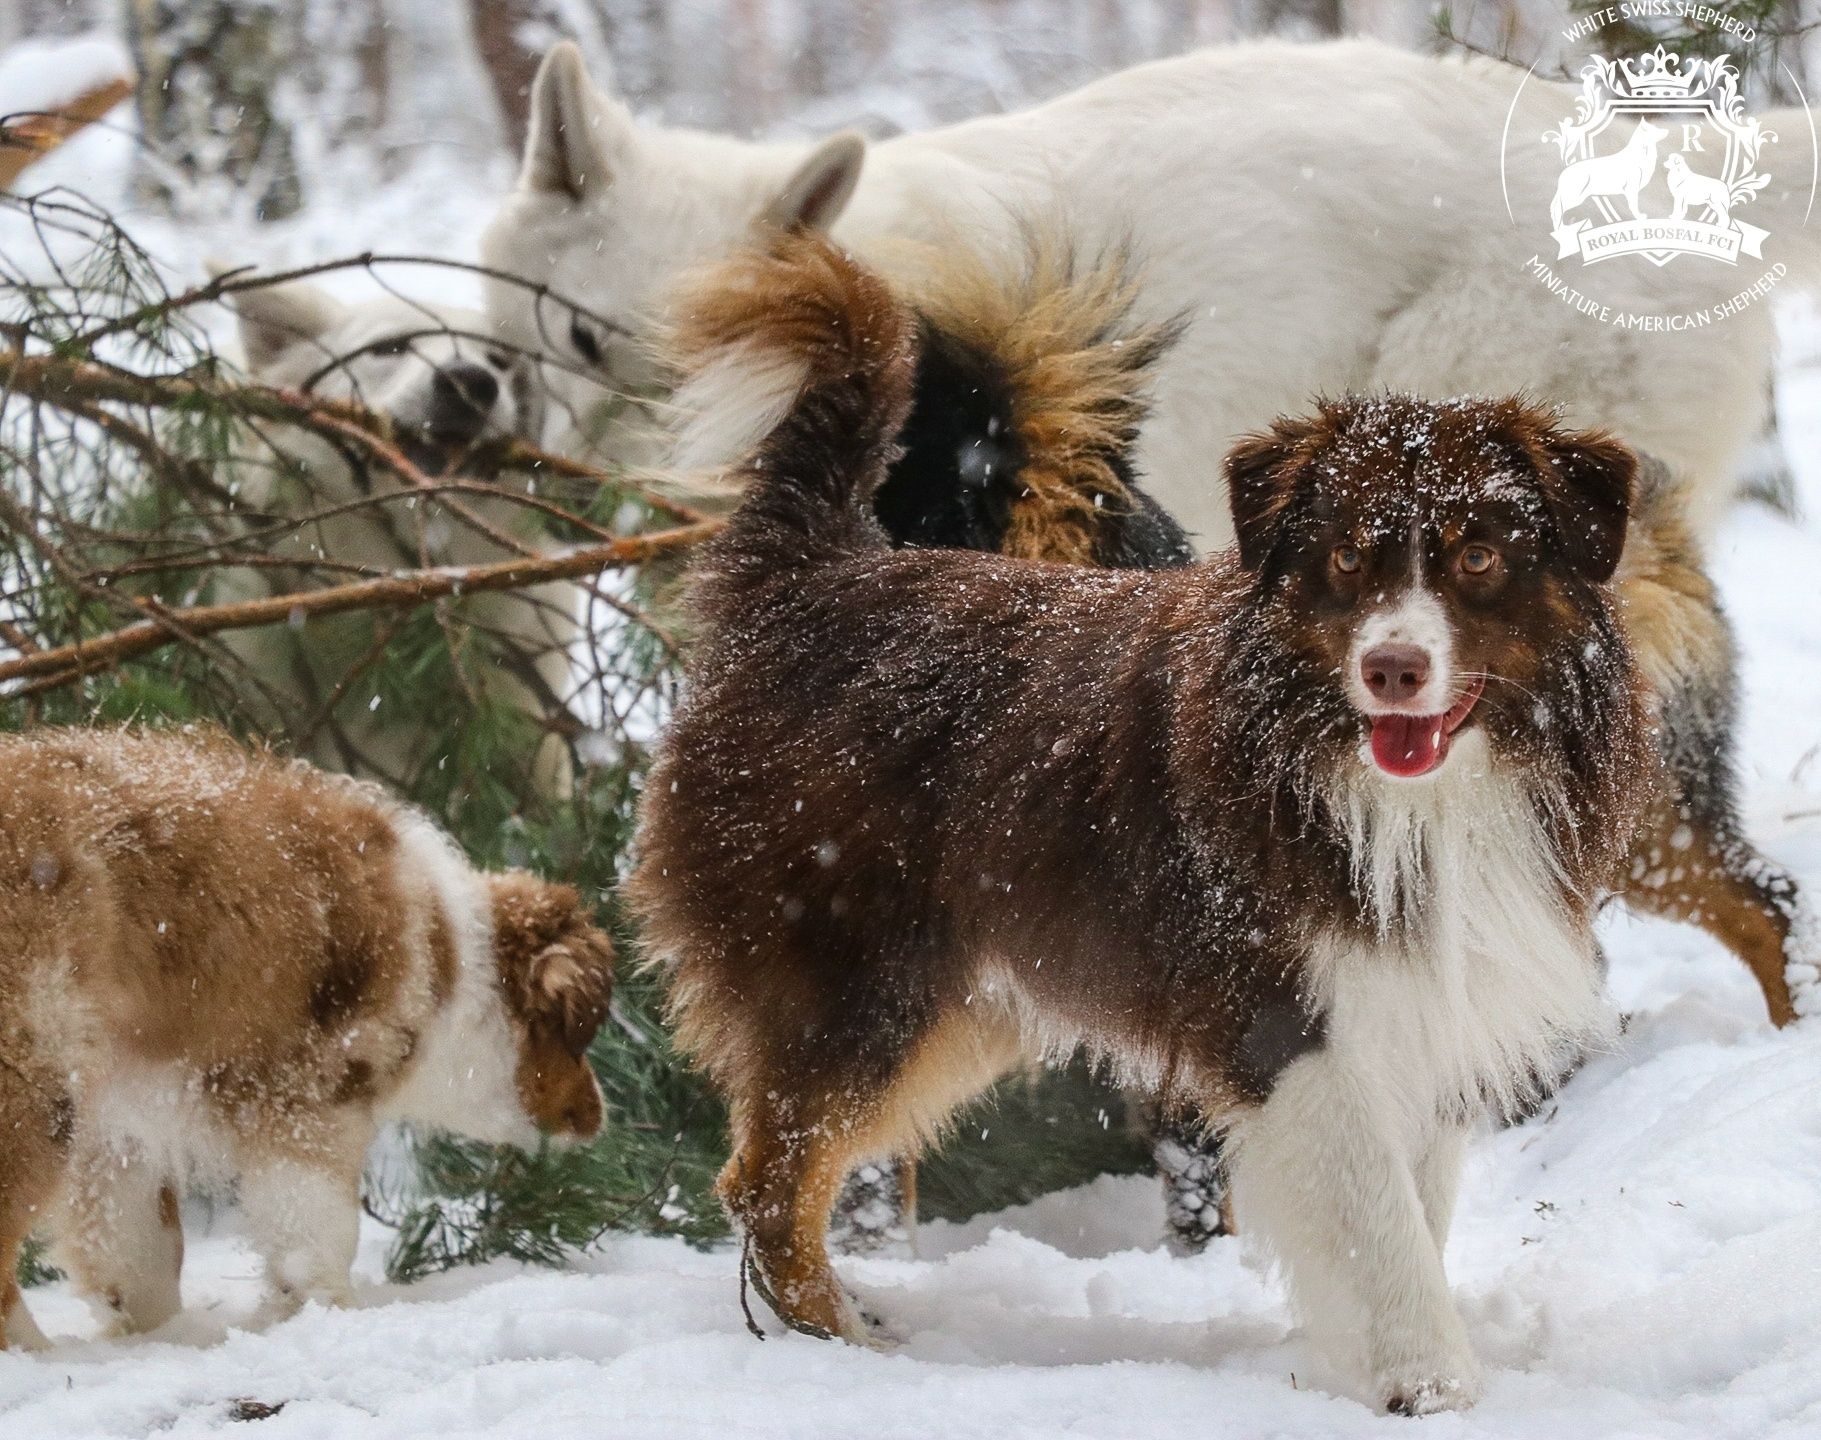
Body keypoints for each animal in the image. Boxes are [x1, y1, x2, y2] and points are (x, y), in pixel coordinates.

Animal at [0, 731, 611, 1354]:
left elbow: (140, 1251)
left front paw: (161, 1338)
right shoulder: (307, 1095)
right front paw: (329, 1315)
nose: (599, 1114)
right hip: (30, 1071)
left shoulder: (119, 1125)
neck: (452, 960)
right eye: (577, 1035)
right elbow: (317, 1232)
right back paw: (36, 1355)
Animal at [633, 238, 1660, 1419]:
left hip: (962, 1002)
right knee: (768, 1178)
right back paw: (839, 1346)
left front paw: (1353, 1364)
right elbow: (1377, 1215)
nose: (1393, 669)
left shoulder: (1425, 1000)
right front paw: (1429, 1383)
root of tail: (805, 576)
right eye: (1349, 561)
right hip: (859, 979)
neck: (1401, 791)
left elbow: (1411, 1206)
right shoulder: (1282, 1015)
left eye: (1478, 558)